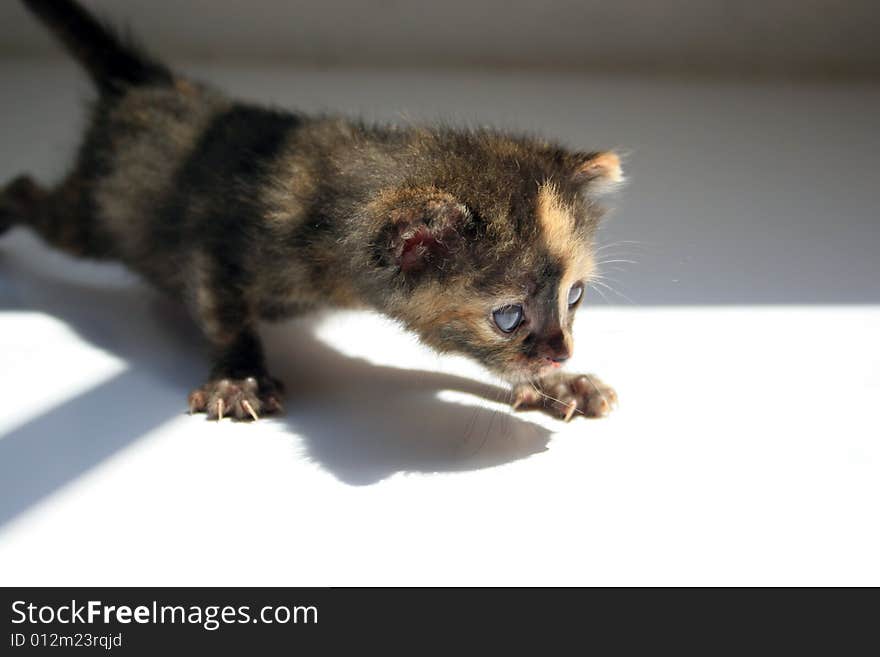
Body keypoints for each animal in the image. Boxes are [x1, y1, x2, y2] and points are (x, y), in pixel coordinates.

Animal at [3, 0, 620, 420]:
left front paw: (556, 384)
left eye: (574, 297)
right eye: (509, 316)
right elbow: (224, 309)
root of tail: (154, 88)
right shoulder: (219, 238)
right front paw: (239, 377)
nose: (562, 351)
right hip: (94, 219)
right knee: (31, 196)